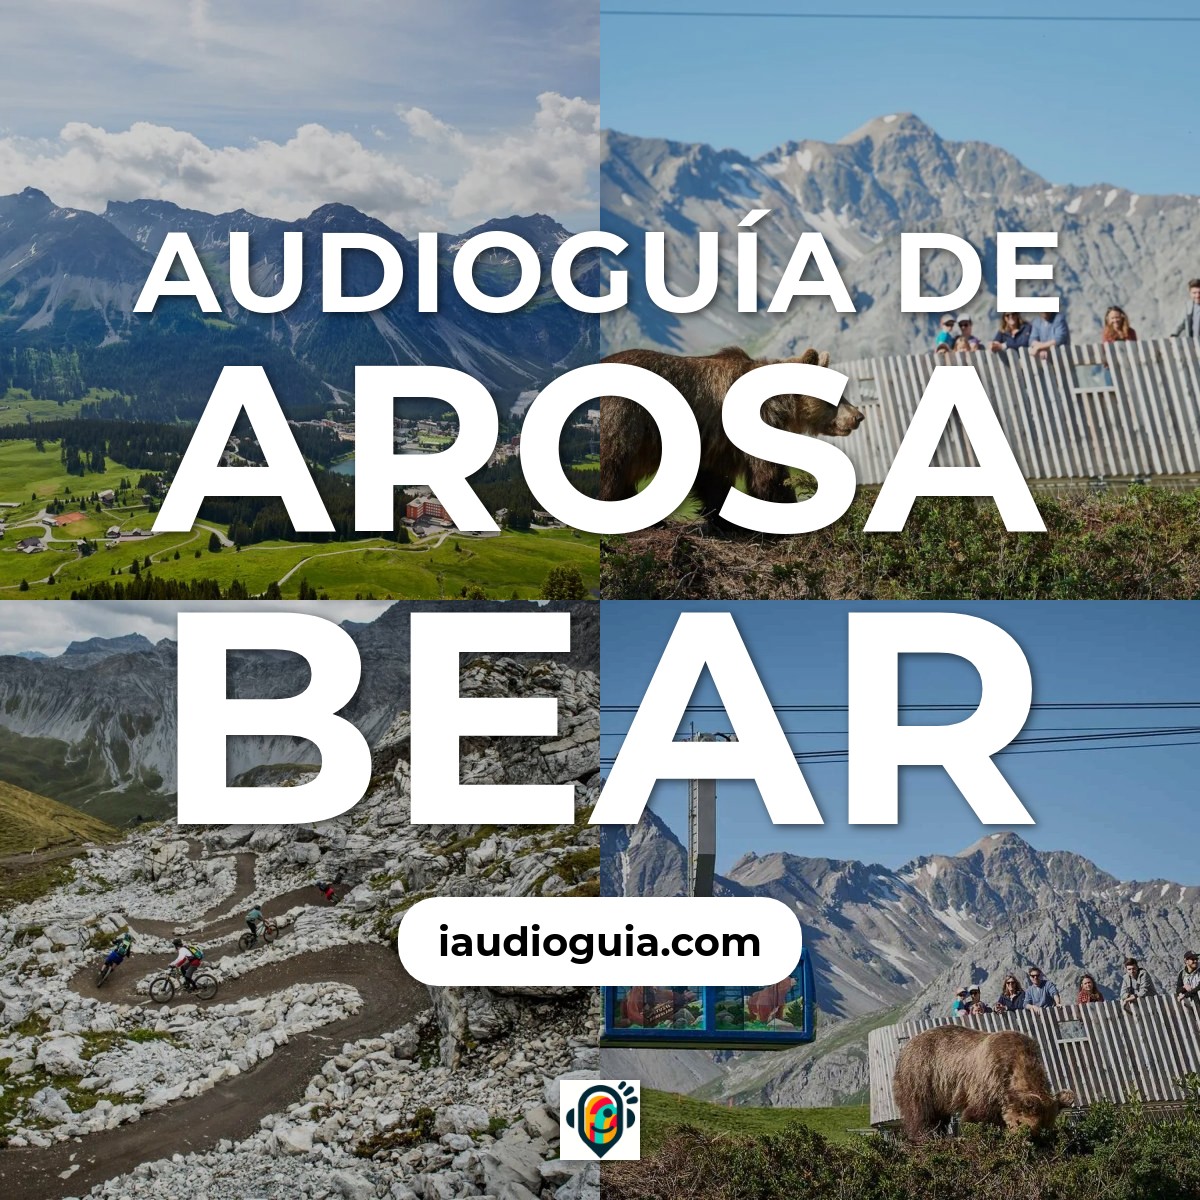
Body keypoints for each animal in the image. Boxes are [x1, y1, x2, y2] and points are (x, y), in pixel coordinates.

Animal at [599, 344, 865, 519]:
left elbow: (713, 478)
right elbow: (769, 475)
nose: (858, 416)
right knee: (614, 464)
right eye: (838, 394)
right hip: (624, 417)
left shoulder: (715, 442)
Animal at [893, 1024, 1074, 1139]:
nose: (1024, 1138)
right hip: (923, 1075)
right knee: (921, 1111)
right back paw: (924, 1136)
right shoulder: (989, 1078)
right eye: (1025, 1125)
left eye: (1044, 1129)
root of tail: (906, 1047)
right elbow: (978, 1114)